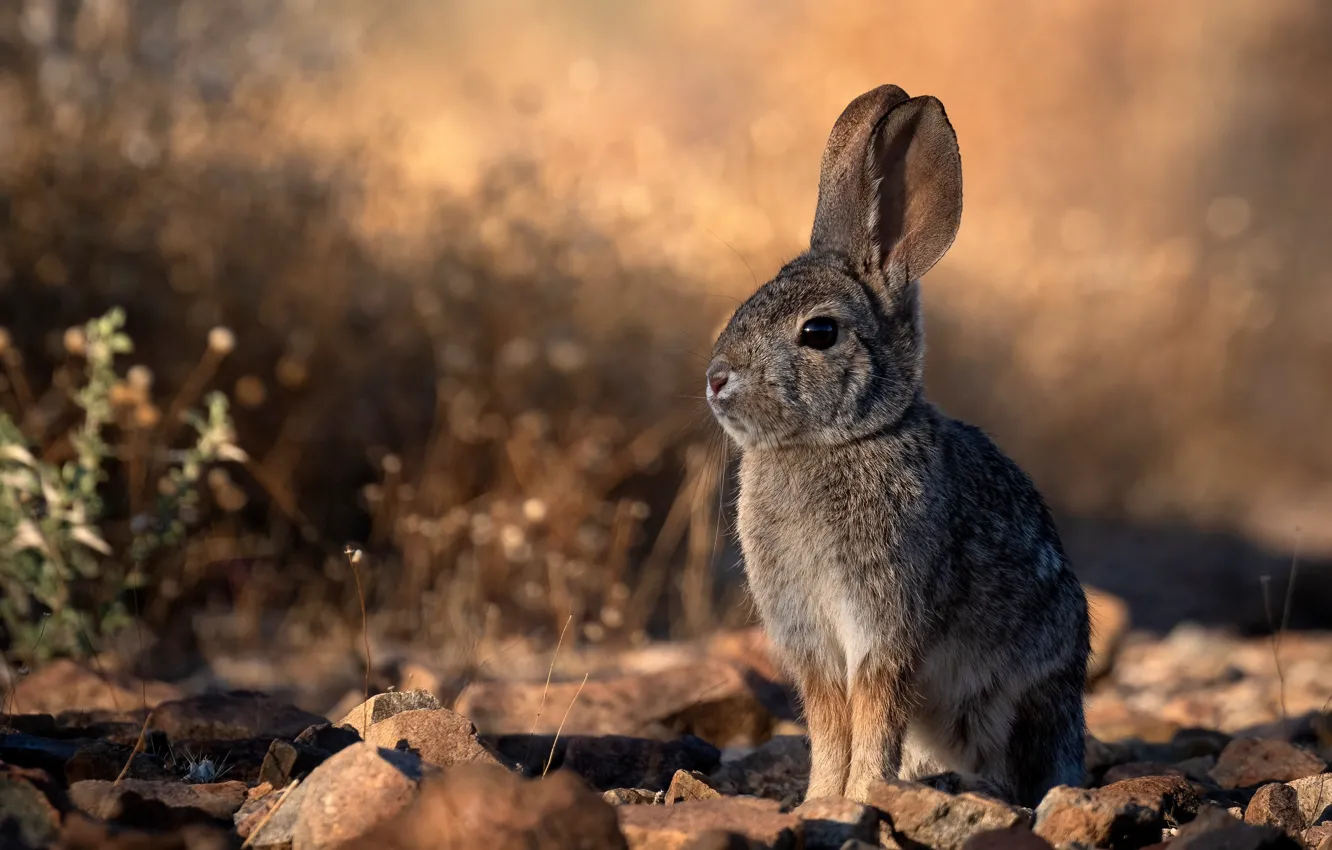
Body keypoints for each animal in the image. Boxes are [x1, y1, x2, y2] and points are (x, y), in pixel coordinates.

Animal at [704, 84, 1089, 808]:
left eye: (819, 332)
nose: (715, 379)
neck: (834, 441)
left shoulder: (886, 627)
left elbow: (874, 712)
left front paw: (857, 798)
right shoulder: (811, 641)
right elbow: (830, 722)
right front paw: (819, 801)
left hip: (1013, 703)